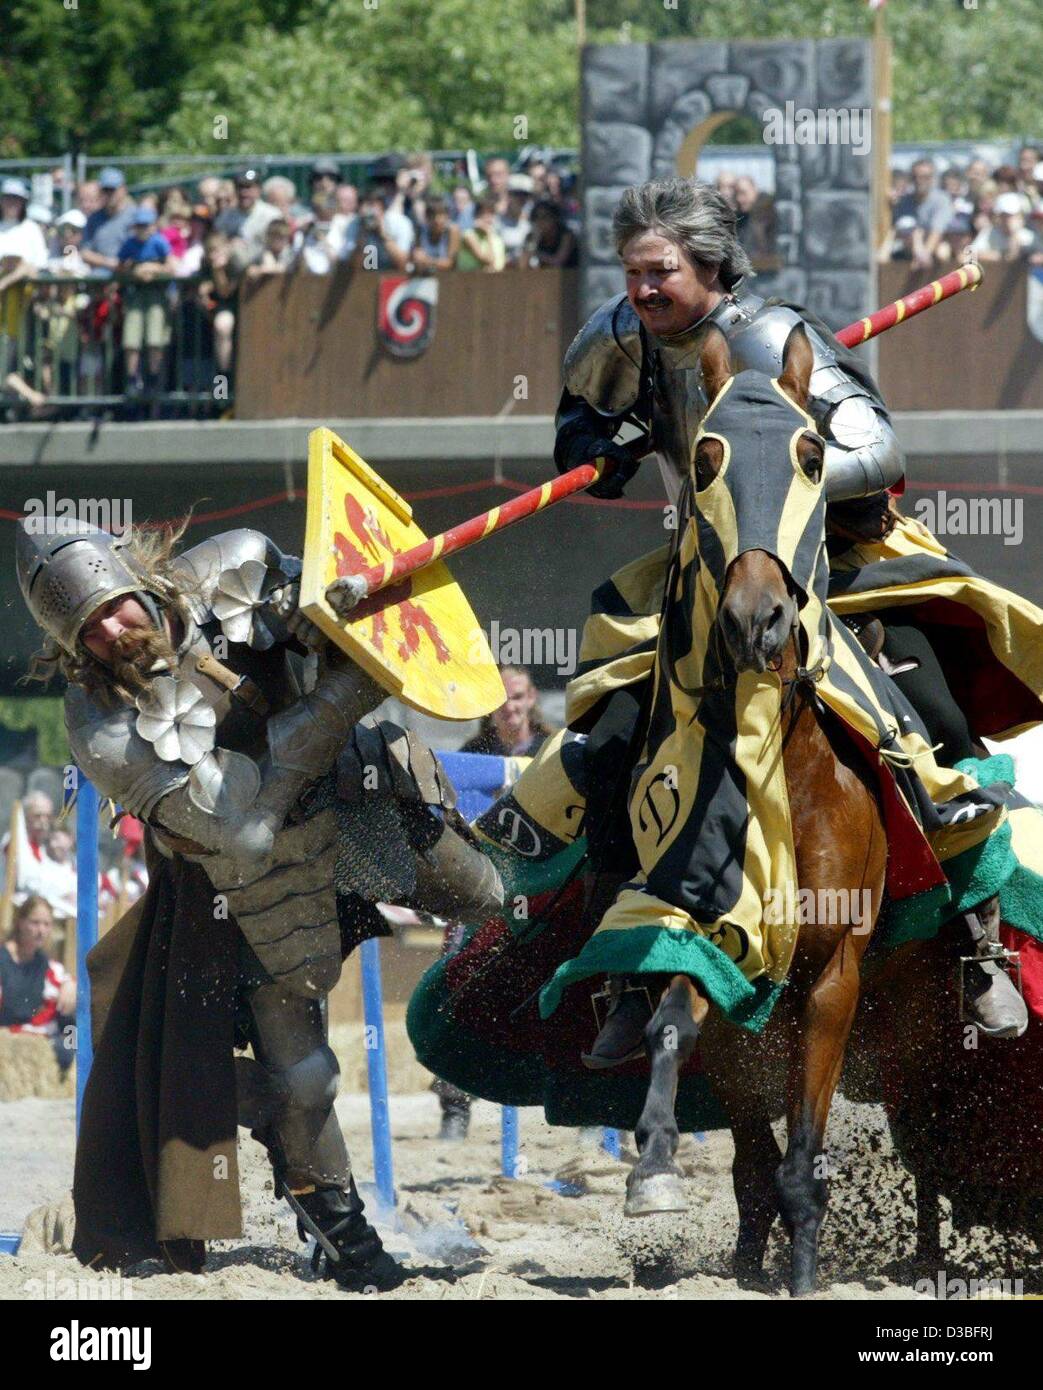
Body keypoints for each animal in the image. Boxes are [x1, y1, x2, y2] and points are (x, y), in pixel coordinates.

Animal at [628, 328, 890, 1301]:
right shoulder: (708, 933)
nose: (757, 619)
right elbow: (672, 1022)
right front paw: (653, 1172)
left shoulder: (833, 972)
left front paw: (805, 1265)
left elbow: (801, 1148)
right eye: (707, 461)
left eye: (811, 456)